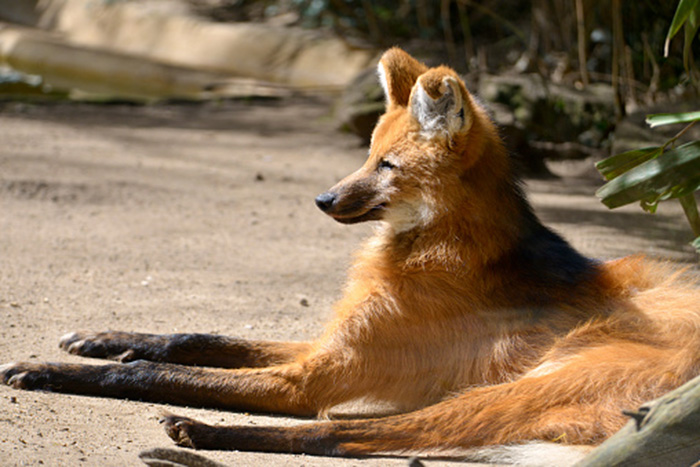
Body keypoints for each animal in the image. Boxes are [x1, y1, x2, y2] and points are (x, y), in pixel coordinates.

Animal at [1, 46, 700, 460]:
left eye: (387, 166)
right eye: (367, 154)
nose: (323, 198)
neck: (431, 245)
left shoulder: (315, 375)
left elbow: (156, 372)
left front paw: (46, 370)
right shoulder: (329, 343)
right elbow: (192, 337)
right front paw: (98, 338)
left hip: (527, 386)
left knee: (344, 433)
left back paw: (197, 433)